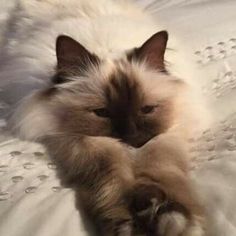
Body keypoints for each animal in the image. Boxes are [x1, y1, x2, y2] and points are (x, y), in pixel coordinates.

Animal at [0, 0, 210, 236]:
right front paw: (130, 223)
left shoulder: (164, 136)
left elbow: (164, 172)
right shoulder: (80, 141)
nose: (131, 137)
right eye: (102, 113)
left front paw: (170, 216)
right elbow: (110, 181)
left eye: (146, 109)